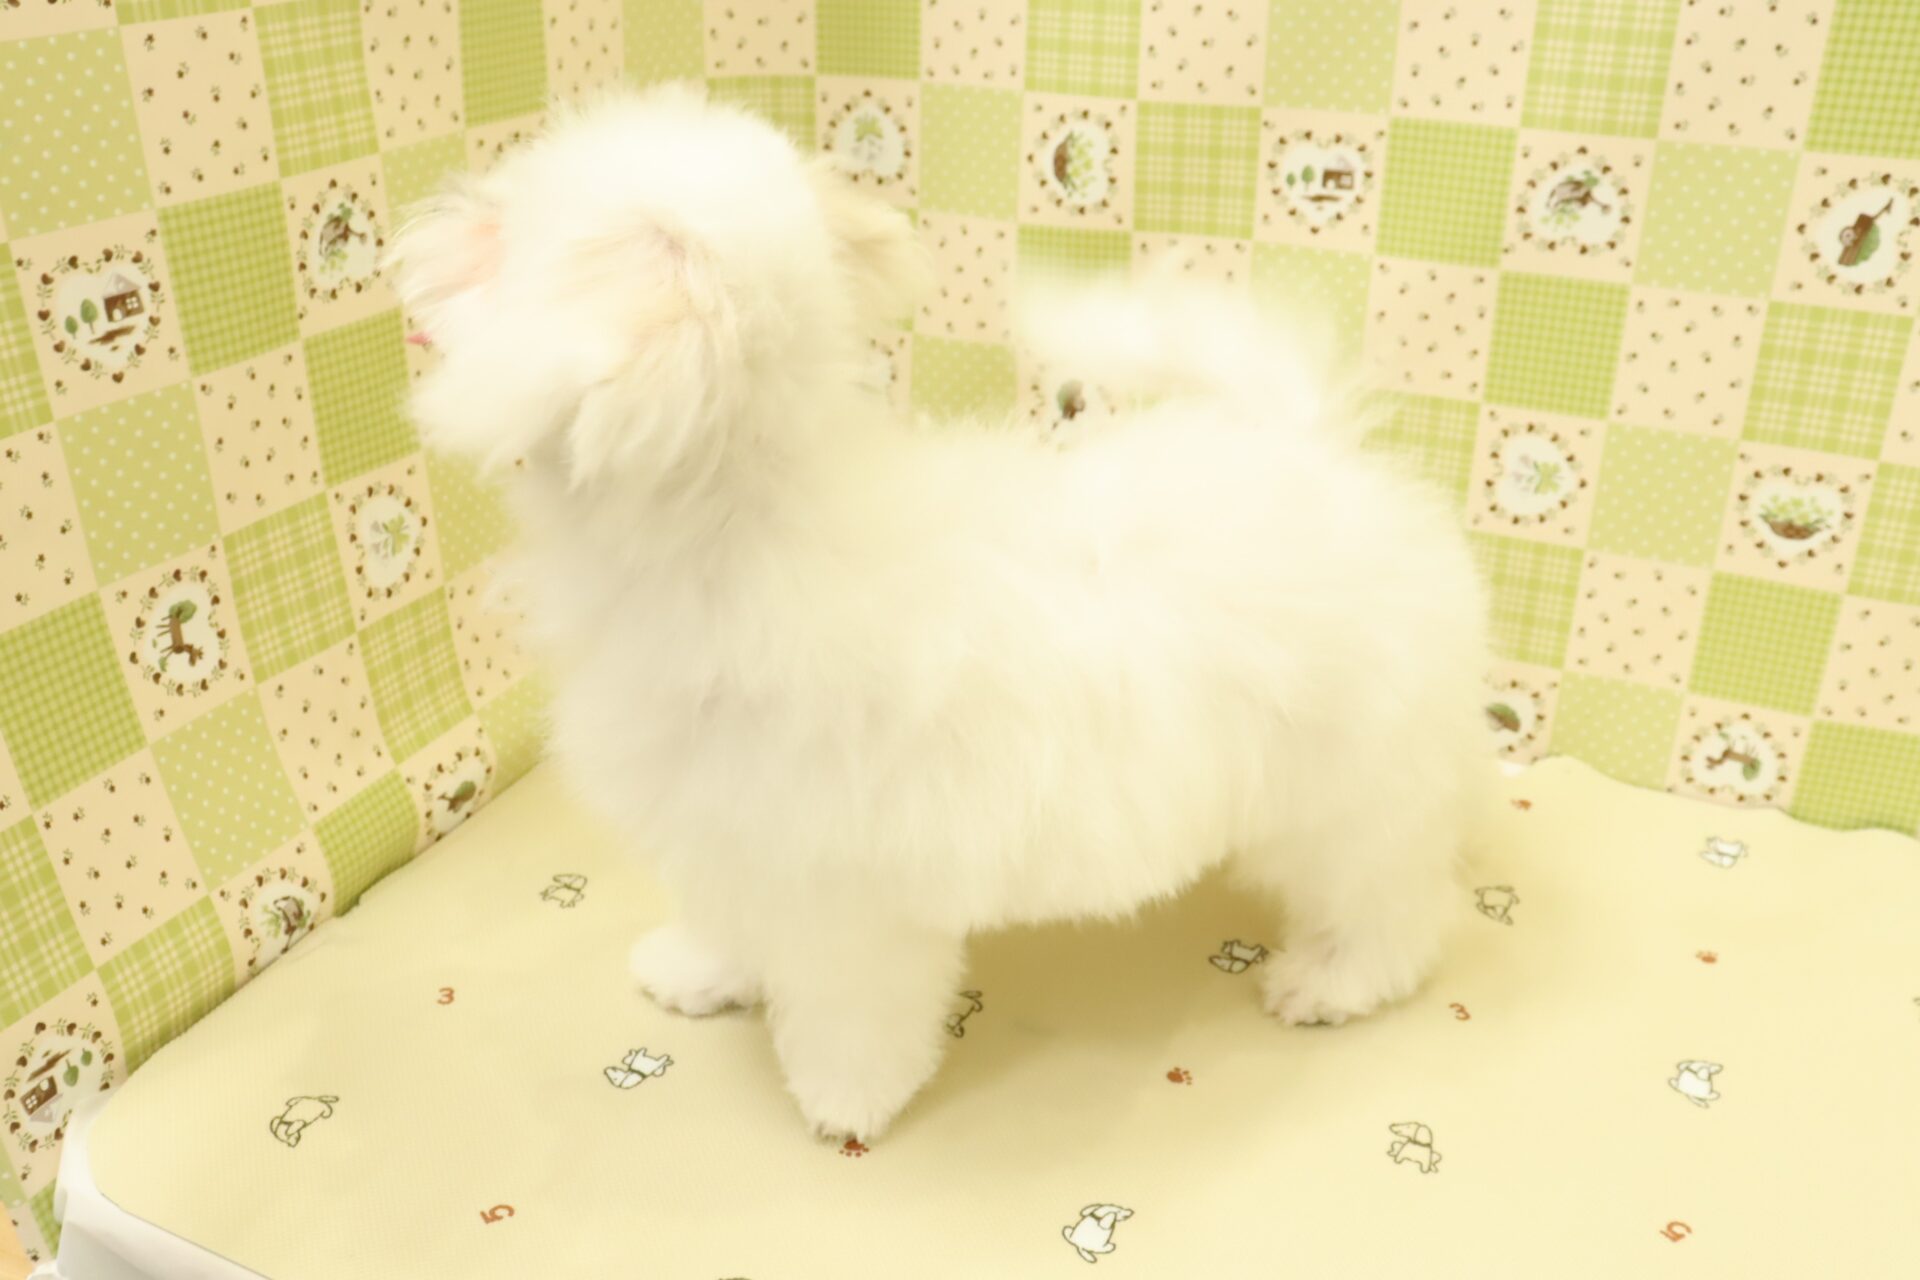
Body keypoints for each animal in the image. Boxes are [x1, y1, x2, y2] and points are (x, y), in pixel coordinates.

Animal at [389, 84, 1490, 1141]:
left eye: (506, 236)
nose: (437, 220)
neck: (733, 524)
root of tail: (1319, 451)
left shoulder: (843, 891)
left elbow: (850, 1011)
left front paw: (846, 1101)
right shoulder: (732, 829)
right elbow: (729, 916)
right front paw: (704, 973)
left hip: (1348, 791)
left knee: (1391, 901)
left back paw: (1335, 980)